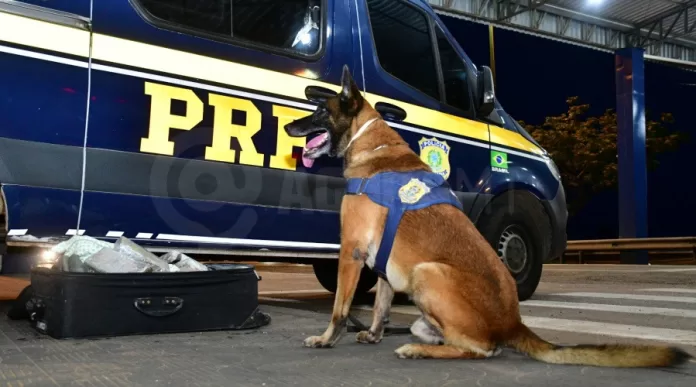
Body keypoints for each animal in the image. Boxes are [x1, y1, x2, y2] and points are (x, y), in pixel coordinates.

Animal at [282, 65, 692, 368]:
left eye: (320, 111)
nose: (288, 126)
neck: (372, 144)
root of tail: (513, 323)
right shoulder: (382, 262)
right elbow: (381, 306)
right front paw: (373, 333)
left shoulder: (351, 252)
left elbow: (339, 308)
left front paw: (326, 339)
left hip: (427, 272)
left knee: (480, 349)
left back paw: (419, 350)